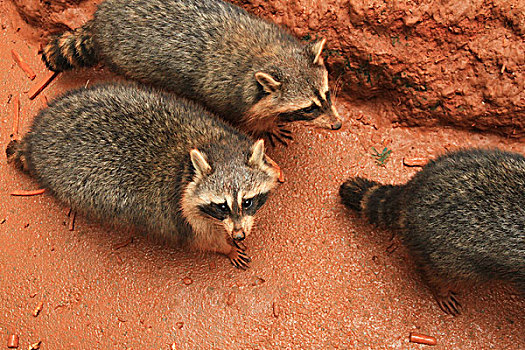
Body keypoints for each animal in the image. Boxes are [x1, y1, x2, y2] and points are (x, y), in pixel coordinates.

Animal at [6, 84, 280, 268]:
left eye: (247, 201)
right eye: (221, 206)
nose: (239, 235)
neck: (214, 147)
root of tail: (36, 138)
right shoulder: (182, 214)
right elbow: (204, 239)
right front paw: (226, 248)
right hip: (77, 184)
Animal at [42, 0, 344, 144]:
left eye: (327, 94)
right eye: (308, 108)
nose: (338, 125)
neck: (266, 54)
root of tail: (100, 20)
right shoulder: (231, 97)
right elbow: (248, 119)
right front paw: (267, 125)